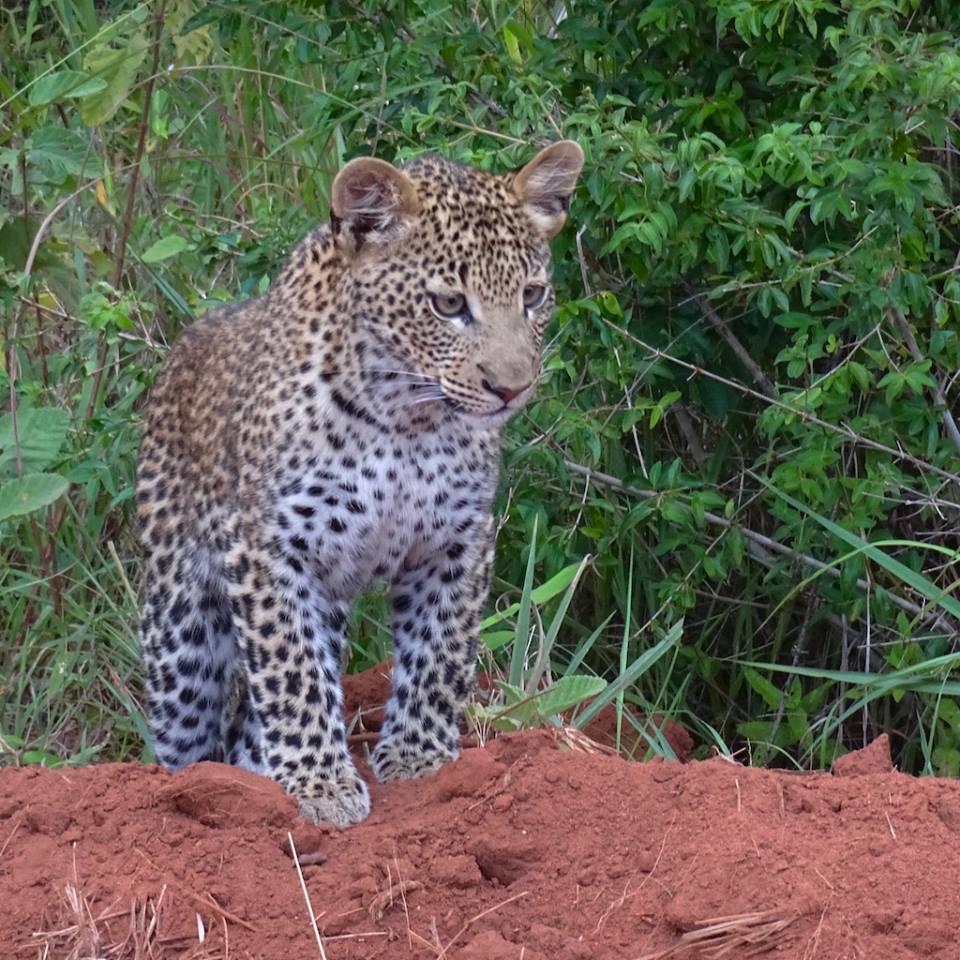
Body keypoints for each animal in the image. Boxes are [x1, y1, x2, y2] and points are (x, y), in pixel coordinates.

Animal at [135, 140, 584, 827]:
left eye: (532, 296)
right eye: (448, 305)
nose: (512, 387)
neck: (405, 419)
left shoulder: (458, 541)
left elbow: (440, 652)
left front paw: (421, 759)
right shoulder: (268, 549)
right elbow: (292, 671)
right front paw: (320, 785)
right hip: (181, 631)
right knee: (191, 731)